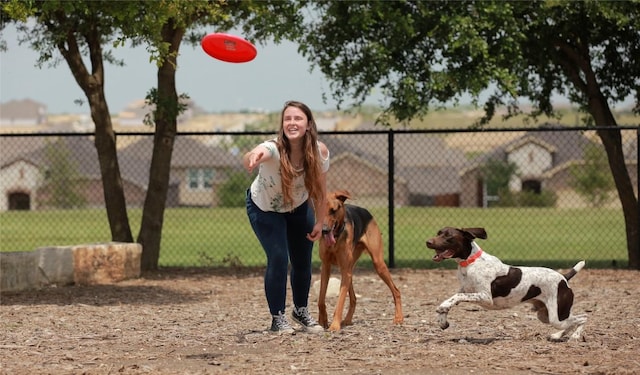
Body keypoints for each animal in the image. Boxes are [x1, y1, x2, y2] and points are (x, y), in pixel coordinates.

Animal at [318, 191, 402, 332]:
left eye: (333, 210)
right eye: (320, 210)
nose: (324, 230)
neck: (336, 236)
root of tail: (366, 211)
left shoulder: (344, 270)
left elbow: (340, 302)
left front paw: (334, 325)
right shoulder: (325, 267)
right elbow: (321, 299)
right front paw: (322, 320)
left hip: (377, 264)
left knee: (396, 291)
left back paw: (399, 318)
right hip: (350, 270)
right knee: (353, 298)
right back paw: (347, 320)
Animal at [428, 228, 588, 342]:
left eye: (448, 236)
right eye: (438, 233)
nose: (427, 242)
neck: (470, 262)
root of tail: (564, 278)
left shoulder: (485, 297)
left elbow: (455, 297)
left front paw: (442, 307)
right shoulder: (466, 290)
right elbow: (454, 298)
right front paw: (442, 321)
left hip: (556, 315)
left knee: (583, 317)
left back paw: (575, 337)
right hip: (546, 315)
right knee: (572, 321)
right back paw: (557, 336)